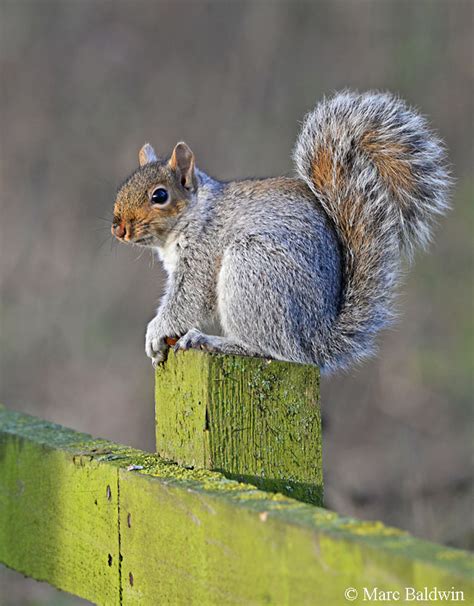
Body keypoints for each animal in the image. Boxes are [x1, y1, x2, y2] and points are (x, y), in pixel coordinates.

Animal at [111, 92, 448, 372]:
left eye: (159, 196)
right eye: (125, 185)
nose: (118, 227)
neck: (195, 212)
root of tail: (314, 338)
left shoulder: (202, 253)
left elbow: (187, 299)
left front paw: (156, 331)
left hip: (252, 269)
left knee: (272, 349)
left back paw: (214, 341)